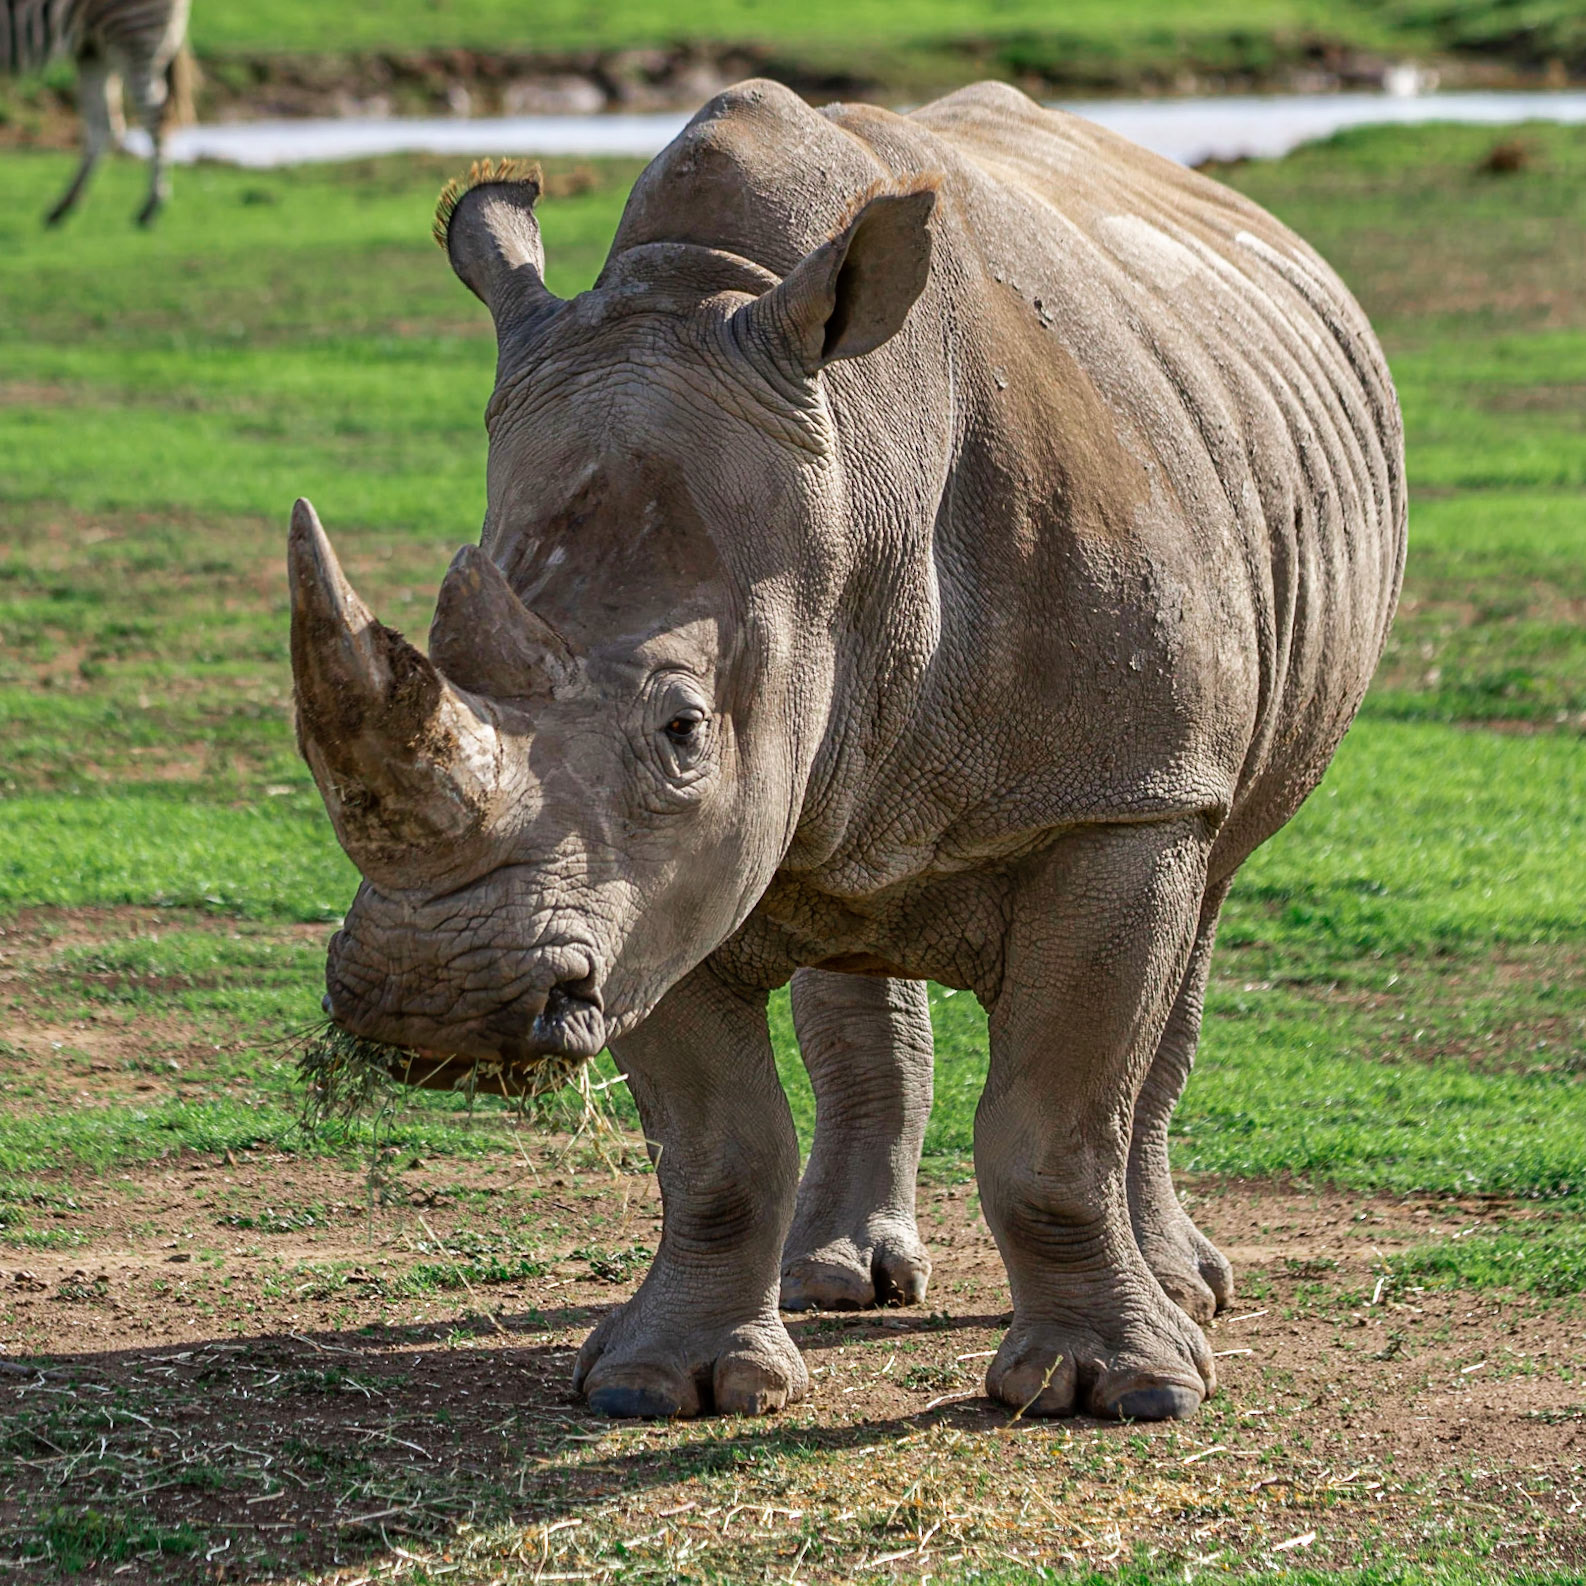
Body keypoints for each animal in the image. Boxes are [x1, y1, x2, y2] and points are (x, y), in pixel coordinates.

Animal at [289, 80, 1405, 1423]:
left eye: (681, 729)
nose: (431, 998)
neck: (853, 488)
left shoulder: (1122, 794)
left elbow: (1055, 1120)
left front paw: (1107, 1389)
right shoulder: (639, 888)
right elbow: (717, 1145)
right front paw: (665, 1384)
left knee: (1200, 911)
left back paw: (1187, 1293)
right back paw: (836, 1279)